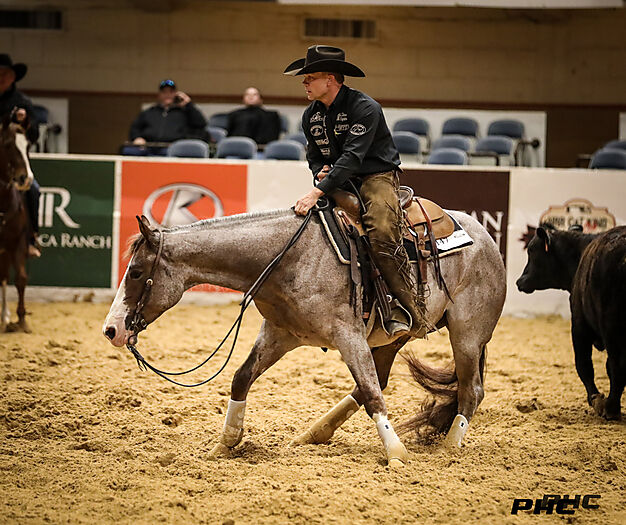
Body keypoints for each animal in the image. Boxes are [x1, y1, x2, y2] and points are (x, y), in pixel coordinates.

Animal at [103, 207, 506, 467]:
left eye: (136, 272)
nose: (112, 329)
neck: (289, 256)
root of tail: (485, 237)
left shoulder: (349, 336)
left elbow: (373, 395)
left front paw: (396, 455)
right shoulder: (279, 335)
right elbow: (241, 378)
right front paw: (226, 443)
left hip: (467, 335)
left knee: (470, 391)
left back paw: (450, 449)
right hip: (393, 338)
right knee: (377, 381)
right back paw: (313, 434)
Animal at [516, 224, 626, 421]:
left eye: (532, 251)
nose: (520, 281)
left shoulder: (579, 326)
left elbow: (584, 365)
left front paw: (596, 399)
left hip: (612, 329)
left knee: (617, 366)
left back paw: (611, 408)